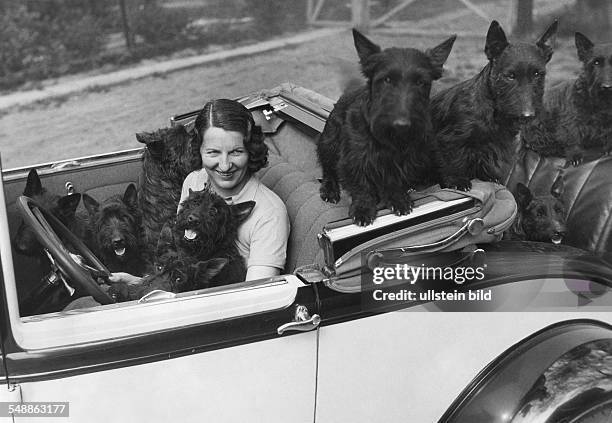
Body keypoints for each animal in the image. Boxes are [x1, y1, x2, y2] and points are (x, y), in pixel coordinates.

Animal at [316, 28, 454, 227]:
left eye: (421, 82)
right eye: (387, 79)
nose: (402, 124)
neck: (392, 140)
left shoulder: (403, 162)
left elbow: (393, 182)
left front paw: (397, 199)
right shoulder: (354, 158)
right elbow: (361, 185)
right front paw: (363, 208)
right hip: (329, 142)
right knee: (328, 169)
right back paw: (329, 189)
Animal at [430, 20, 560, 190]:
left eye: (538, 74)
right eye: (510, 76)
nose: (528, 115)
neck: (494, 111)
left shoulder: (494, 144)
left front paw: (487, 176)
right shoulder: (449, 139)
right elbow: (451, 162)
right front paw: (458, 181)